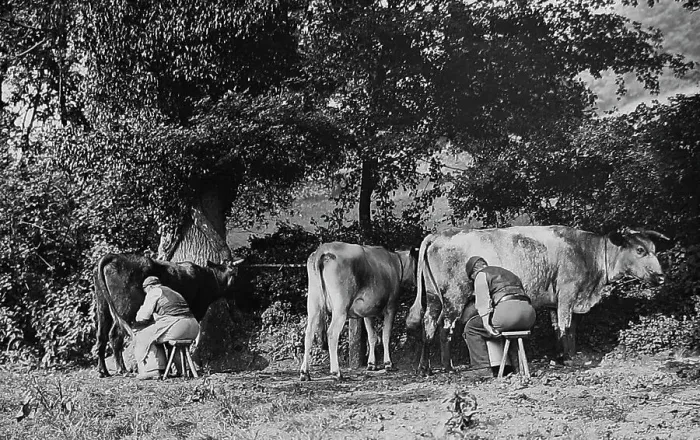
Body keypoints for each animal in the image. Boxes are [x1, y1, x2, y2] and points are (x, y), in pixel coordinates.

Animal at [93, 253, 242, 378]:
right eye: (234, 274)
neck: (207, 279)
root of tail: (114, 256)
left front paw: (170, 370)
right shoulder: (196, 310)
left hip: (102, 306)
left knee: (101, 336)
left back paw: (103, 371)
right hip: (124, 308)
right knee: (115, 335)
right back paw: (122, 369)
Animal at [299, 243, 418, 381]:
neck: (396, 264)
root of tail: (323, 249)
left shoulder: (367, 311)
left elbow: (372, 336)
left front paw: (371, 364)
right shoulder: (391, 306)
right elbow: (385, 335)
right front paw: (388, 364)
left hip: (313, 304)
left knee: (309, 334)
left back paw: (305, 373)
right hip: (340, 308)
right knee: (332, 334)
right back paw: (336, 373)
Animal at [405, 226, 668, 374]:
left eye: (654, 249)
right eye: (640, 250)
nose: (661, 276)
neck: (586, 252)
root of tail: (440, 234)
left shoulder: (556, 300)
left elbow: (561, 328)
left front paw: (563, 356)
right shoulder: (567, 294)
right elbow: (566, 326)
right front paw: (568, 359)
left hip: (434, 298)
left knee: (428, 326)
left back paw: (424, 369)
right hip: (454, 297)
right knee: (444, 330)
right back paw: (447, 367)